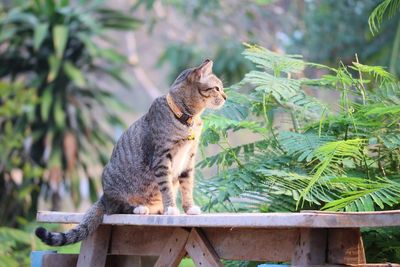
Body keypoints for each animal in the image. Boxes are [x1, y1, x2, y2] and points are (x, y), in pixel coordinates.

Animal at [36, 59, 227, 247]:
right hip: (114, 188)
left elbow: (187, 186)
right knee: (116, 208)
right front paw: (171, 208)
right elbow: (166, 187)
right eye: (217, 88)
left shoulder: (188, 159)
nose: (225, 97)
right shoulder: (161, 158)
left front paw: (189, 208)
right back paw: (139, 208)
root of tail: (103, 197)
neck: (186, 119)